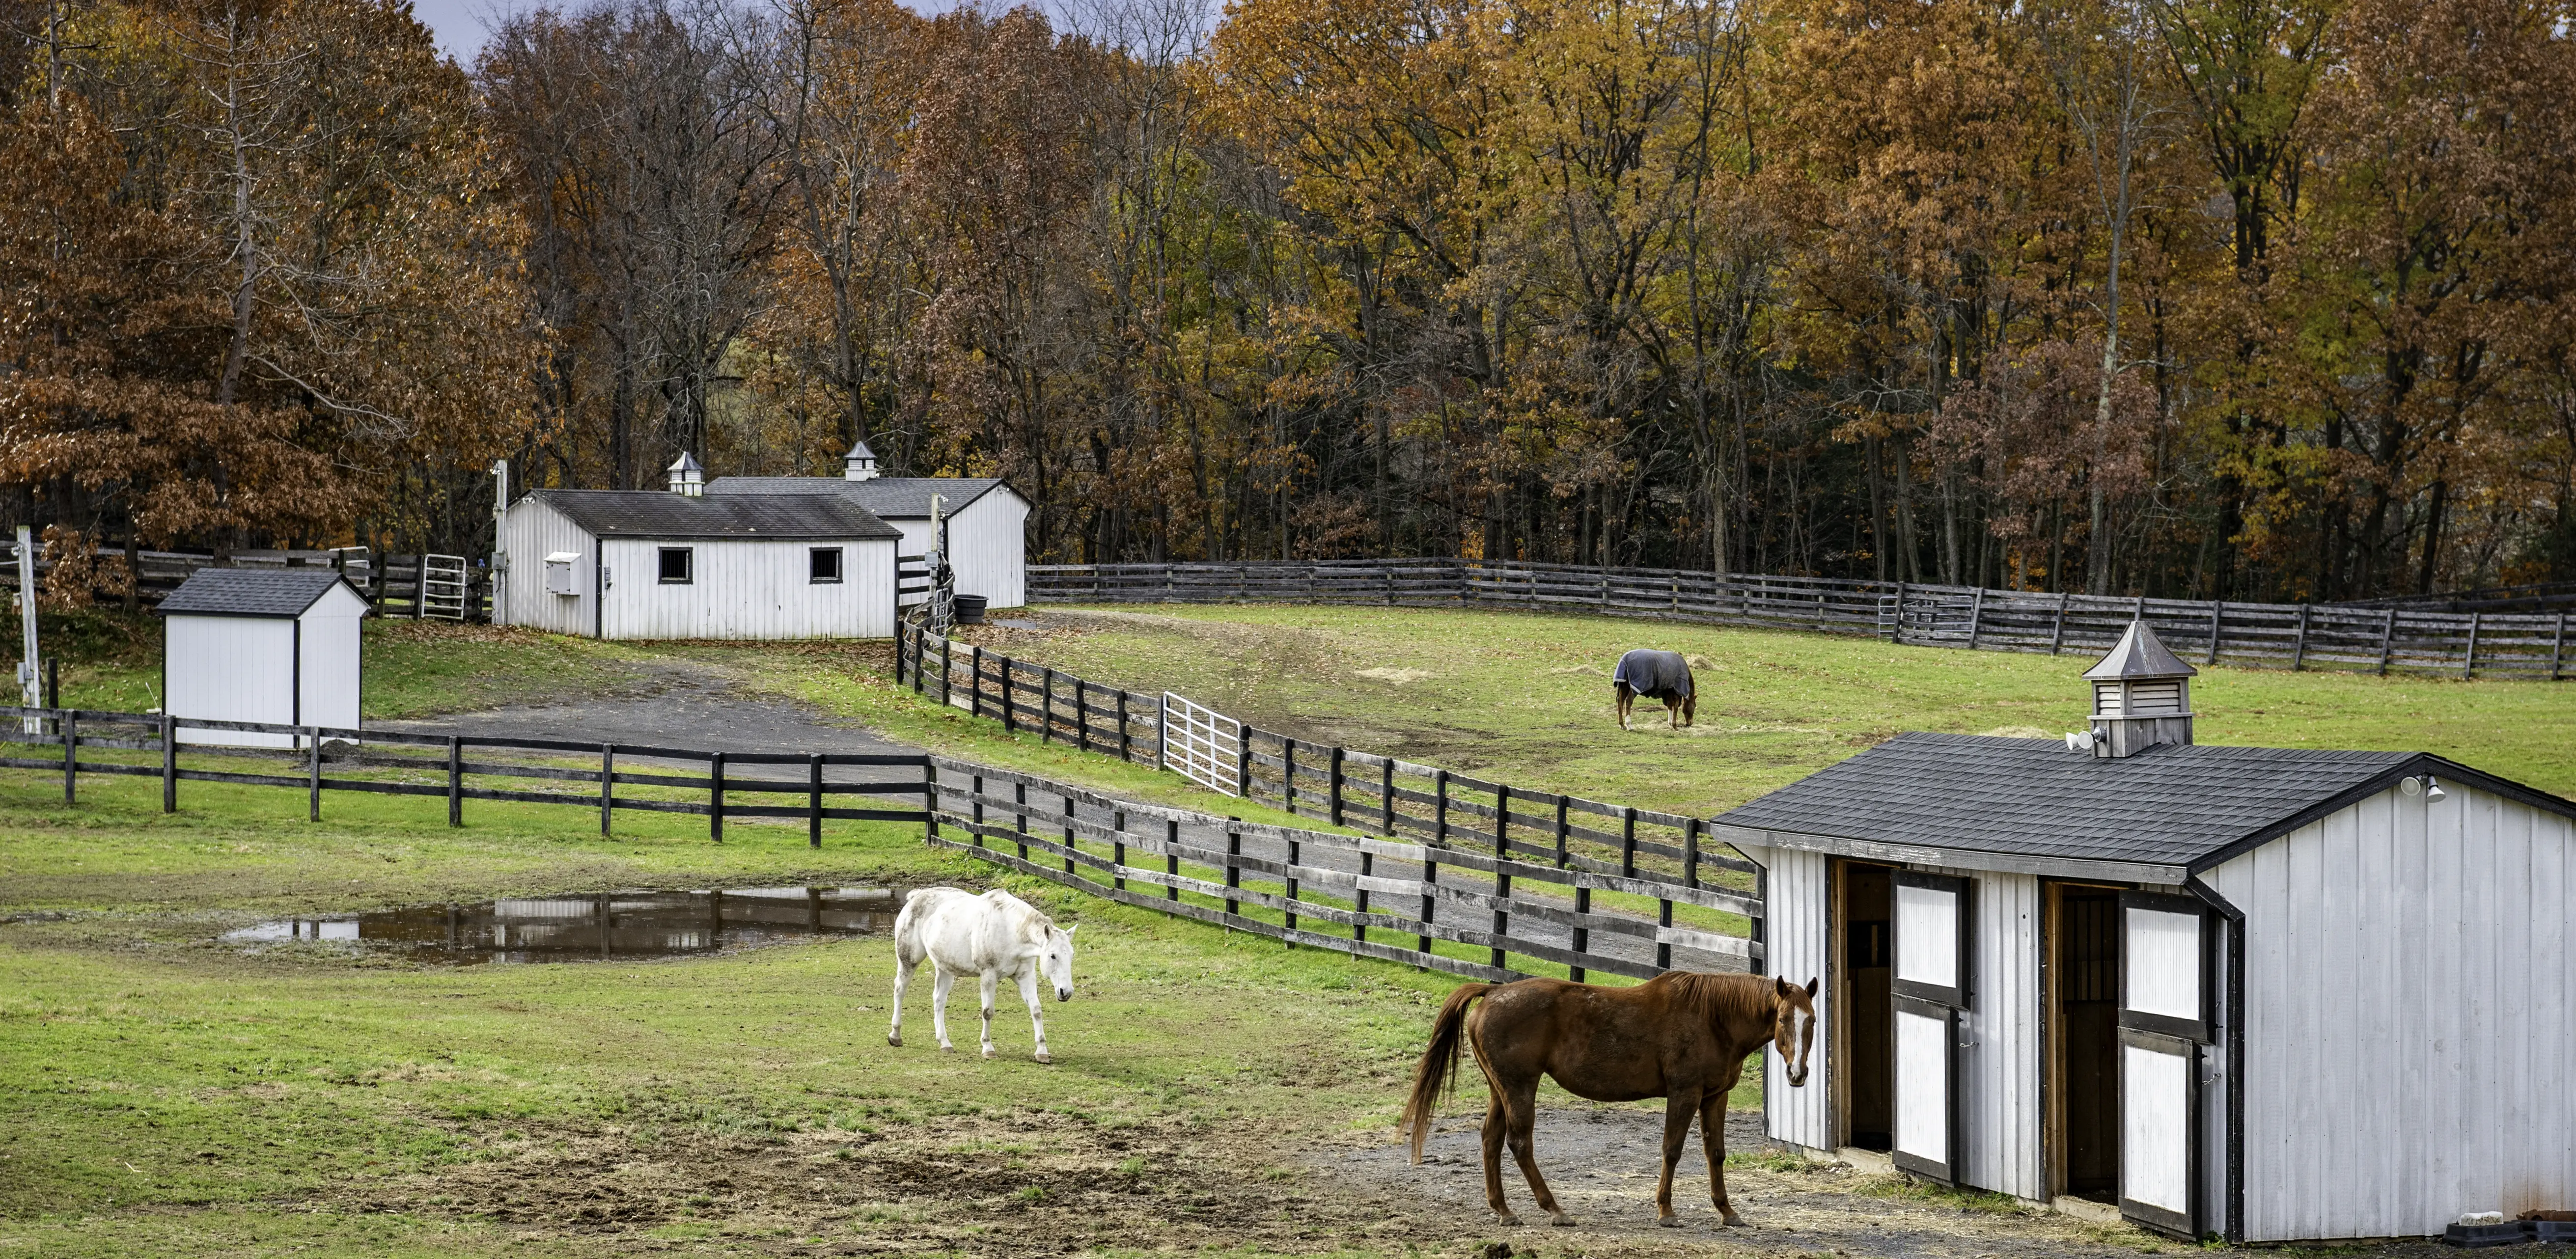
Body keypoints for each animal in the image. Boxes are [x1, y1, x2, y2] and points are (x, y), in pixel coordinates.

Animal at [886, 887, 1077, 1063]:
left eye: (1071, 955)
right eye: (1053, 956)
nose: (1066, 992)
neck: (1011, 930)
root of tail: (917, 896)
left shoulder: (1026, 976)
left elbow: (1036, 1010)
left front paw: (1042, 1051)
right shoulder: (988, 975)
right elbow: (988, 1012)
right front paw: (988, 1048)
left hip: (945, 969)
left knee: (939, 1000)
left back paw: (945, 1043)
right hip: (909, 961)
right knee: (900, 991)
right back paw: (896, 1035)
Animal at [1398, 972, 1818, 1229]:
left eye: (1811, 1020)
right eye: (1782, 1019)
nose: (1797, 1073)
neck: (1713, 1018)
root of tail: (1493, 992)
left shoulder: (1715, 1097)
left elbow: (1715, 1154)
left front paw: (1727, 1212)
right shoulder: (1684, 1094)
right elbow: (1672, 1151)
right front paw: (1666, 1211)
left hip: (1499, 1089)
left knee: (1490, 1140)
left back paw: (1504, 1210)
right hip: (1519, 1087)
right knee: (1519, 1143)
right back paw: (1554, 1209)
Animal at [1612, 649, 1697, 730]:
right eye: (1695, 706)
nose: (1690, 723)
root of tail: (1625, 661)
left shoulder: (1668, 691)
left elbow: (1670, 706)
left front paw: (1670, 724)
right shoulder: (1677, 691)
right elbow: (1675, 708)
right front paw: (1675, 726)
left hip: (1625, 685)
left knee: (1620, 701)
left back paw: (1622, 725)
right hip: (1634, 688)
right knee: (1628, 701)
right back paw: (1629, 725)